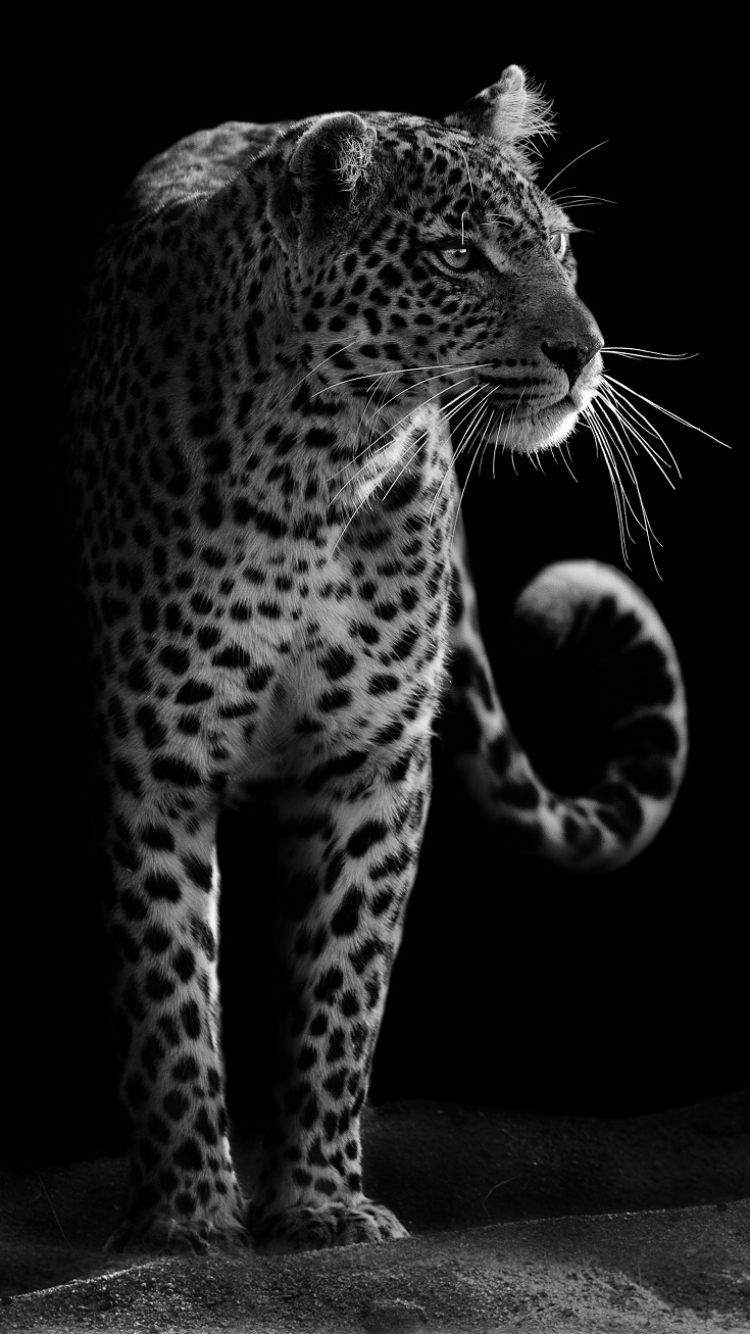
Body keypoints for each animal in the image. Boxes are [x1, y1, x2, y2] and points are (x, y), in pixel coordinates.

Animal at [65, 65, 688, 1255]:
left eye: (558, 245)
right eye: (457, 255)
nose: (584, 352)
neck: (319, 461)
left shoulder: (372, 759)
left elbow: (341, 985)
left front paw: (319, 1199)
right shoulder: (154, 755)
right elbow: (168, 986)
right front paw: (187, 1214)